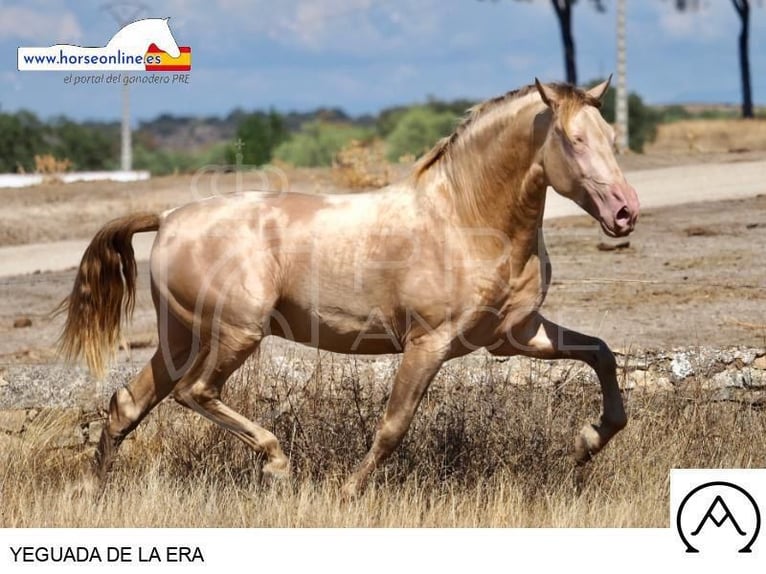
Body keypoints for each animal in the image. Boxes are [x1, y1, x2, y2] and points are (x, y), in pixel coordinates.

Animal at [57, 77, 640, 500]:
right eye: (573, 140)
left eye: (612, 139)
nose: (625, 213)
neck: (464, 219)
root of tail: (170, 216)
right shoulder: (428, 344)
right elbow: (393, 425)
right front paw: (349, 491)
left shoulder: (513, 335)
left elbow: (601, 354)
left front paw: (586, 444)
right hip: (236, 335)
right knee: (194, 392)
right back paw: (277, 464)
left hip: (180, 338)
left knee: (128, 404)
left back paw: (91, 489)